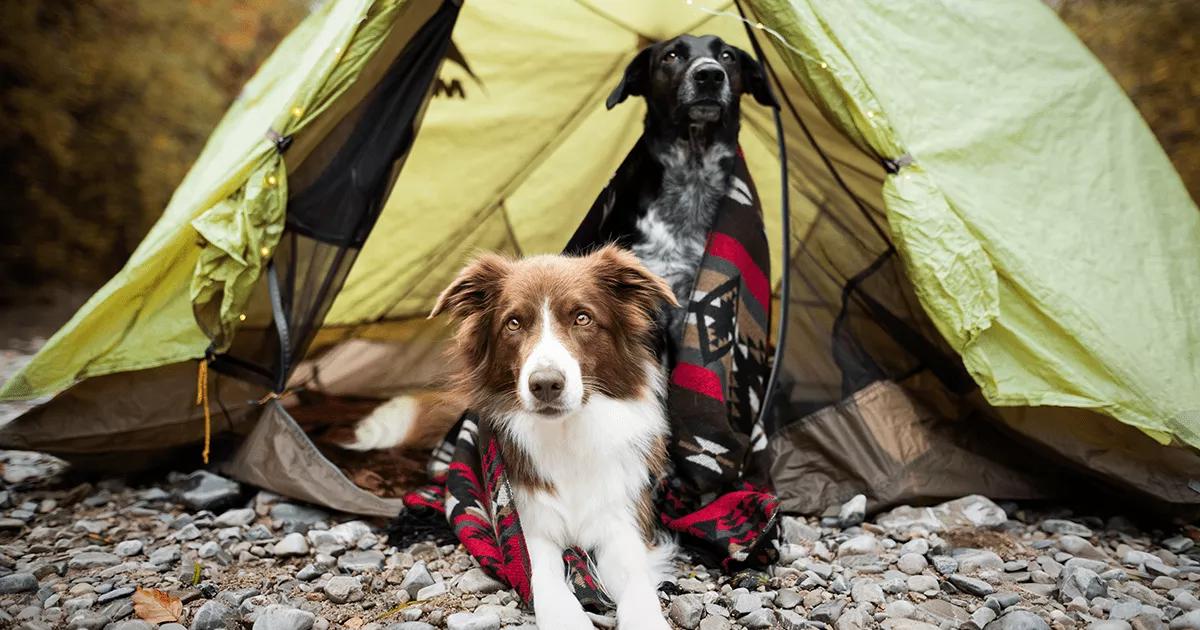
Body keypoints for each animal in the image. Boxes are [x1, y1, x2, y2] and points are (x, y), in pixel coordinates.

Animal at [429, 247, 681, 628]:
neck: (566, 433)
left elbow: (637, 582)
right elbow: (543, 578)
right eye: (513, 323)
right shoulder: (529, 526)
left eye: (582, 318)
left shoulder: (621, 520)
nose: (546, 384)